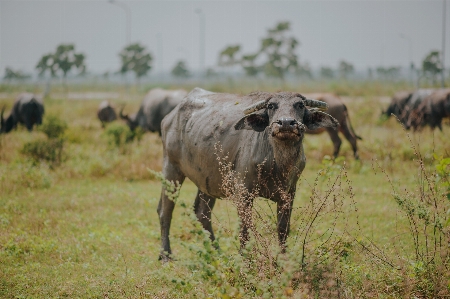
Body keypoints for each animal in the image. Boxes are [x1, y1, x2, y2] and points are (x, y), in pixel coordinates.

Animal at [158, 87, 338, 260]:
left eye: (300, 105)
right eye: (271, 106)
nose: (286, 123)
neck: (277, 163)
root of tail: (169, 118)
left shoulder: (289, 194)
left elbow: (283, 228)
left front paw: (283, 258)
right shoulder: (243, 193)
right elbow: (245, 228)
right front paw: (245, 259)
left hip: (208, 181)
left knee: (202, 213)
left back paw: (217, 252)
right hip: (171, 169)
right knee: (165, 211)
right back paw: (166, 254)